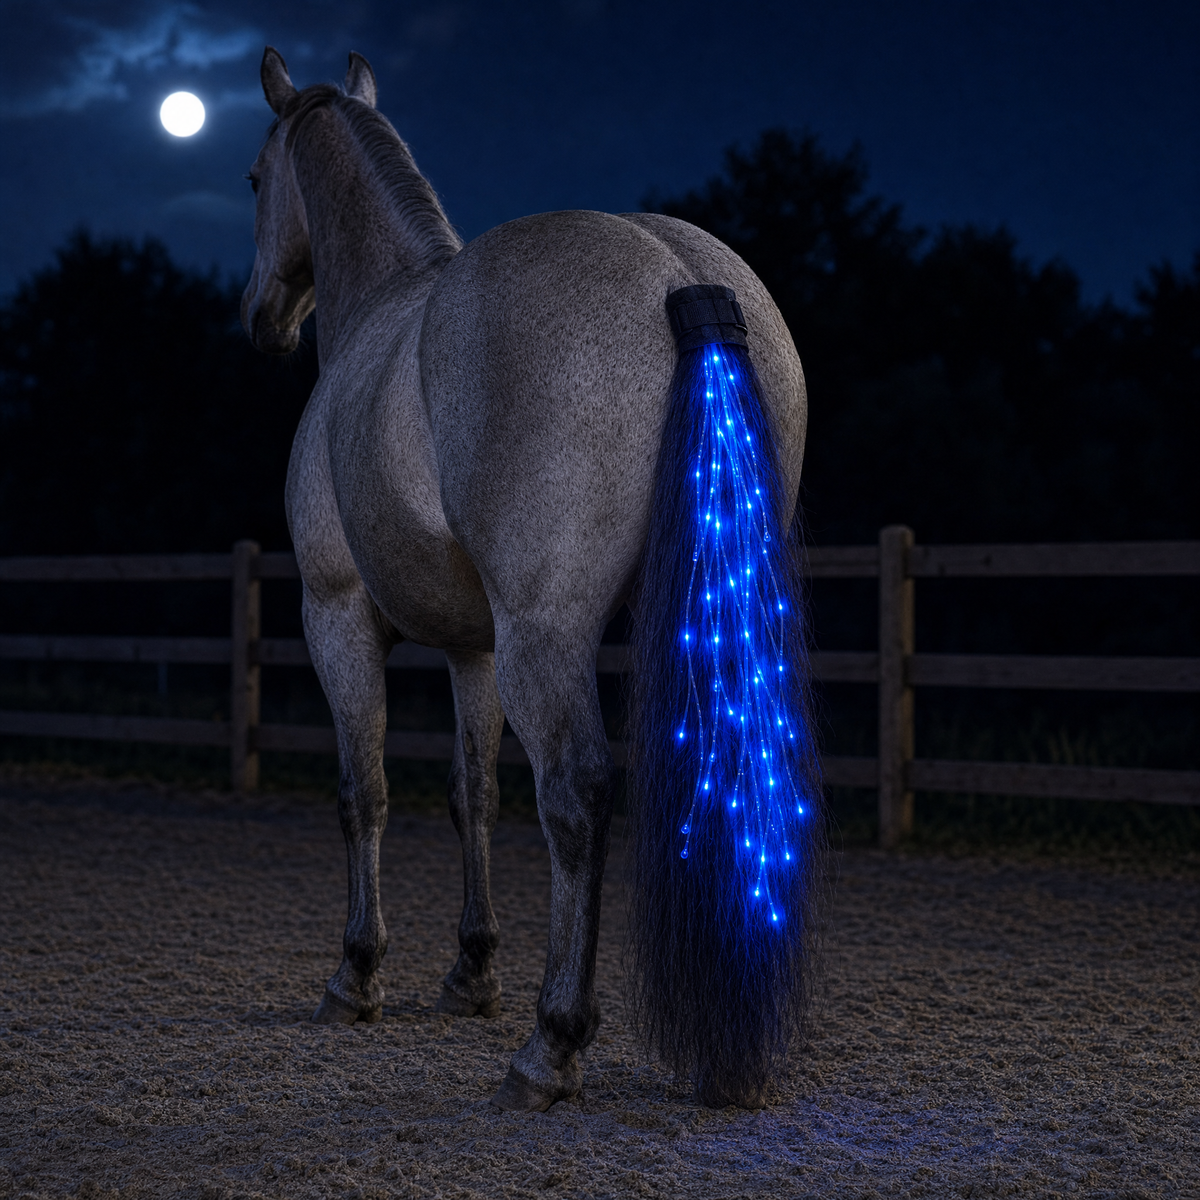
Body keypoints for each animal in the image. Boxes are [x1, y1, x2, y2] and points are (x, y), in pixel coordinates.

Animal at [241, 46, 825, 1111]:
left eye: (257, 179)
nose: (262, 318)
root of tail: (684, 281)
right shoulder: (473, 648)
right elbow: (473, 793)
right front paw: (471, 971)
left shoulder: (336, 616)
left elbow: (364, 791)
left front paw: (356, 974)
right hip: (707, 623)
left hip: (544, 637)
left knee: (579, 794)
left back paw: (552, 1047)